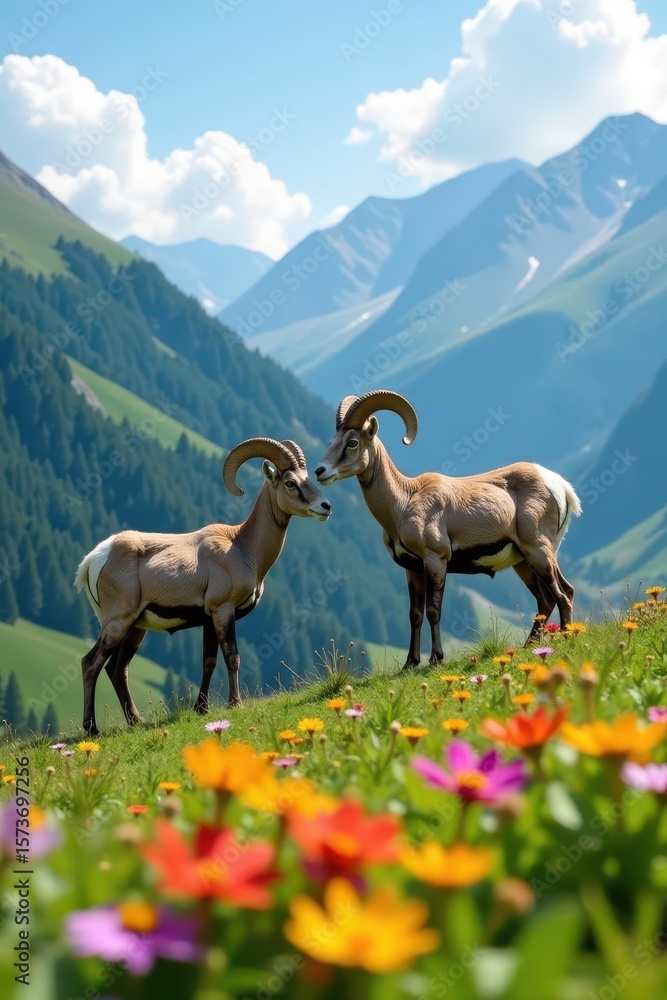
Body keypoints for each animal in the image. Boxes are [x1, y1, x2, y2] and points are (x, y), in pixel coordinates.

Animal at [74, 437, 331, 734]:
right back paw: (92, 728)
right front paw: (235, 704)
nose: (325, 506)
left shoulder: (209, 619)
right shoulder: (223, 610)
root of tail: (95, 558)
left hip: (136, 627)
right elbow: (232, 656)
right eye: (290, 482)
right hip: (118, 621)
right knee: (90, 663)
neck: (242, 547)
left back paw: (135, 721)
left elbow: (209, 662)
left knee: (117, 668)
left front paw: (201, 708)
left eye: (307, 477)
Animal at [315, 390, 581, 669]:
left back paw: (565, 637)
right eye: (333, 440)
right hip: (523, 561)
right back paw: (528, 645)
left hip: (538, 550)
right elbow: (415, 614)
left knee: (564, 593)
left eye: (352, 442)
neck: (404, 502)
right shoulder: (412, 568)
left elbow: (434, 610)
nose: (320, 471)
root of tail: (560, 486)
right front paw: (409, 663)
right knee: (546, 599)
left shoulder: (436, 559)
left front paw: (435, 658)